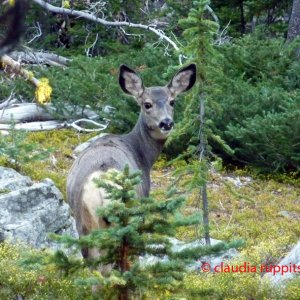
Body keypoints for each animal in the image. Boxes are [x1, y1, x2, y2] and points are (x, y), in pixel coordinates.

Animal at [66, 63, 196, 262]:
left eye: (172, 102)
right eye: (147, 104)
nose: (166, 123)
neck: (141, 153)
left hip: (83, 224)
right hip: (129, 217)